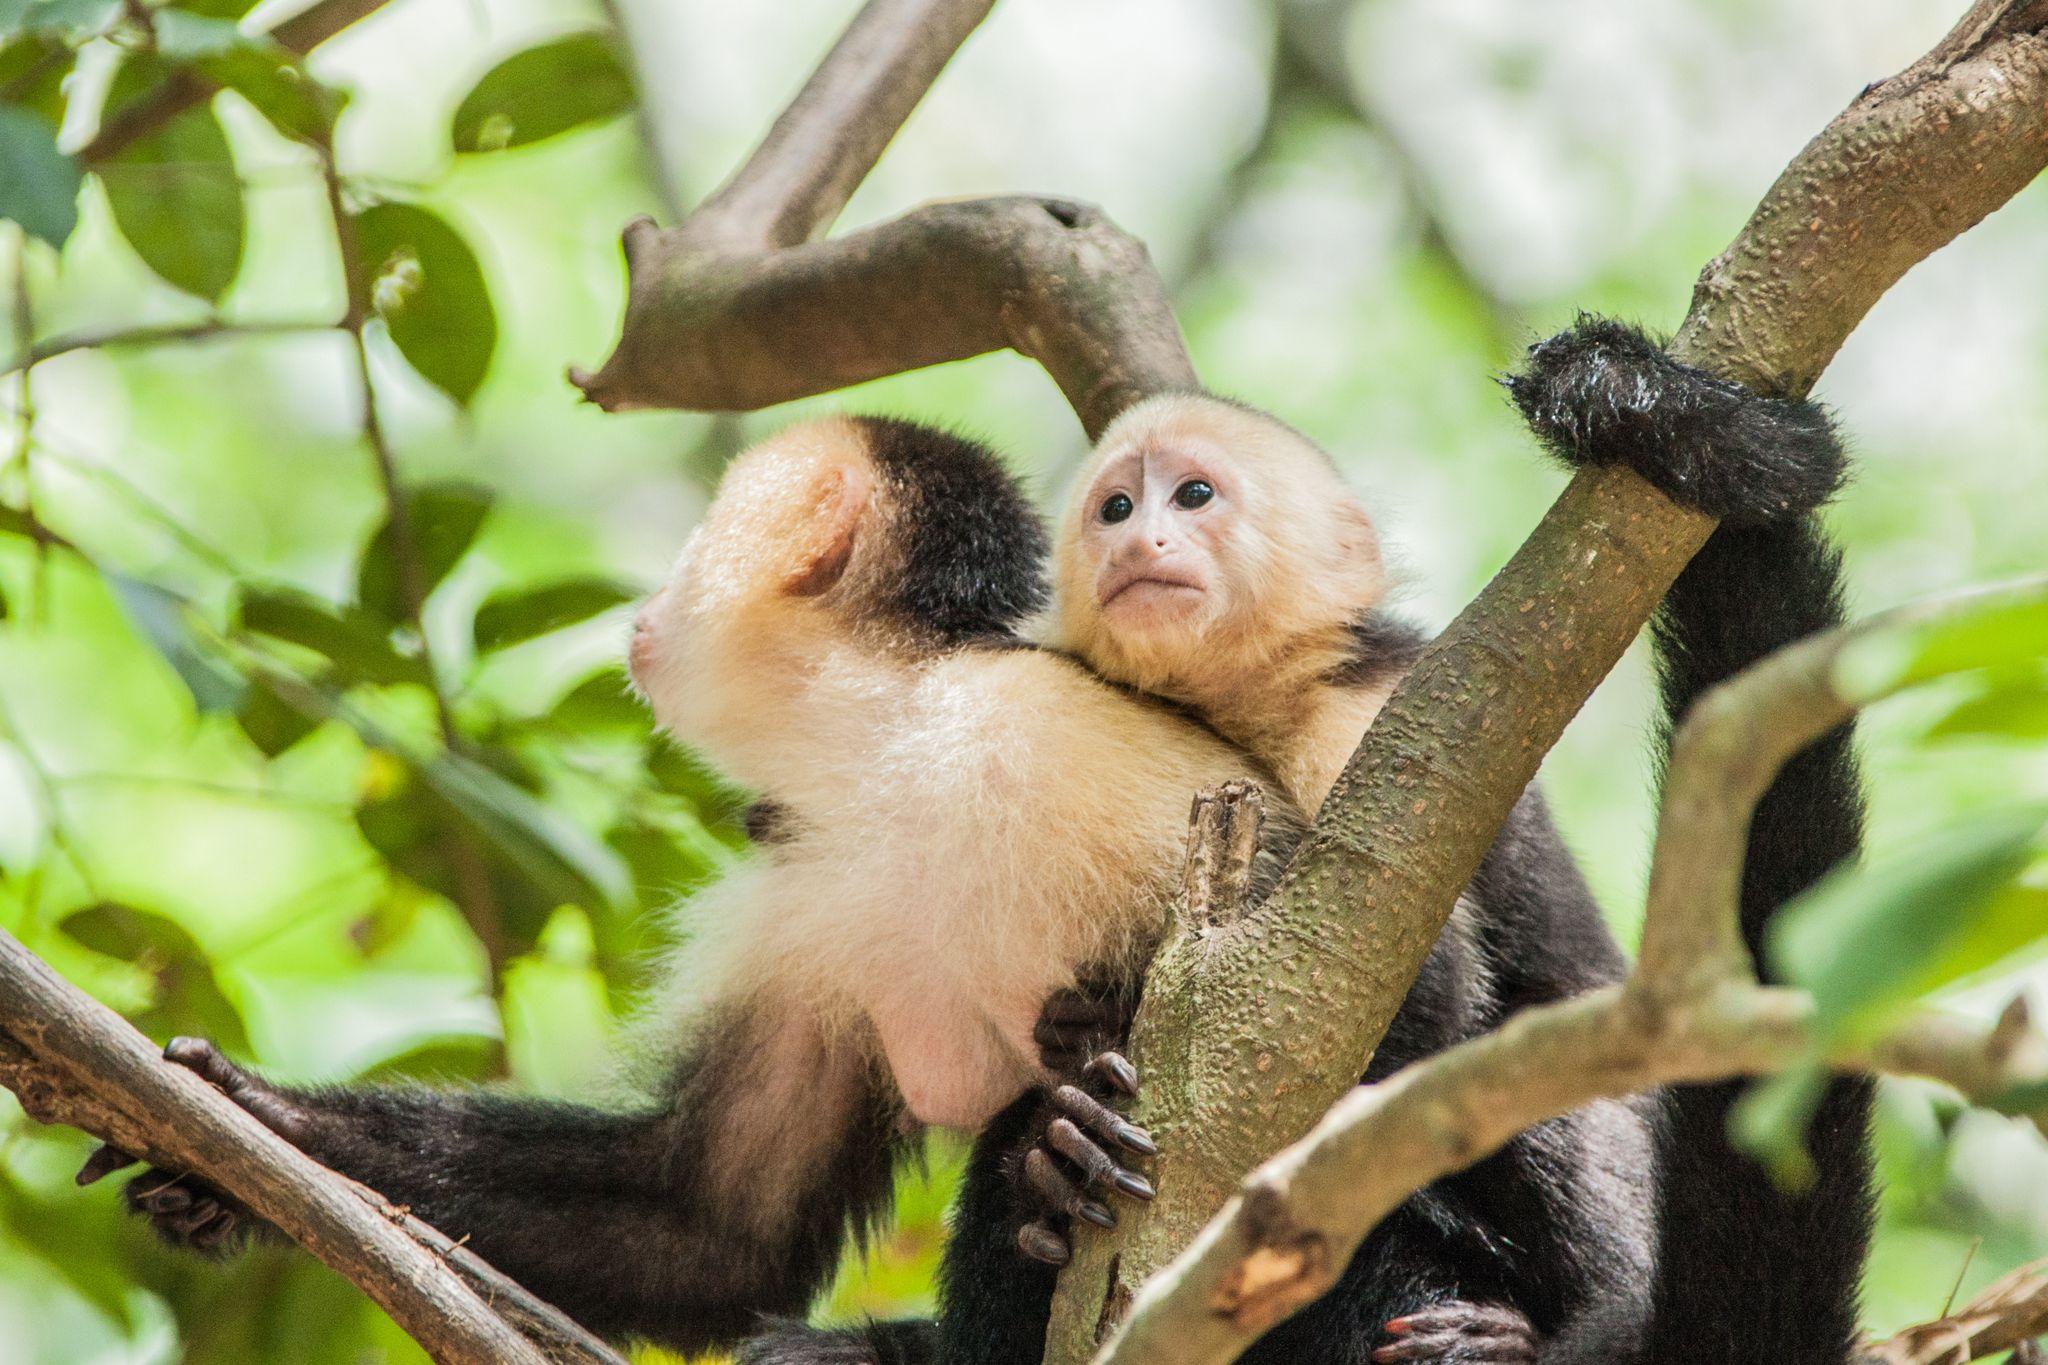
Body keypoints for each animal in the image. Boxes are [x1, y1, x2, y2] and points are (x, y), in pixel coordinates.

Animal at [83, 413, 1310, 1358]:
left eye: (696, 542)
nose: (647, 607)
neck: (893, 745)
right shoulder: (804, 882)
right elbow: (711, 1228)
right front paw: (244, 1131)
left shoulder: (1050, 735)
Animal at [757, 317, 1875, 1365]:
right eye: (1113, 508)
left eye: (1192, 496)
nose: (1136, 542)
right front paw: (1064, 1099)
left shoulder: (1381, 716)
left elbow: (1411, 1002)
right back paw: (1046, 1174)